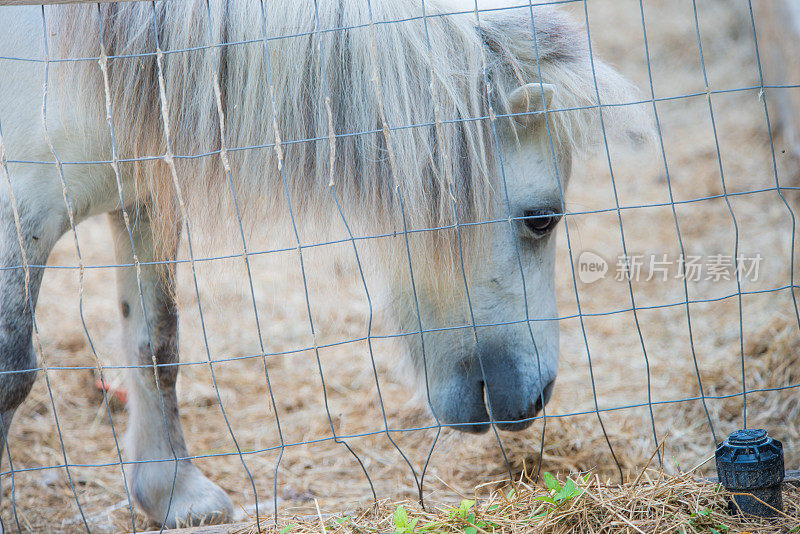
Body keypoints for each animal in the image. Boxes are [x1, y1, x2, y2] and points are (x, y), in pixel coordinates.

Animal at [0, 0, 648, 528]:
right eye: (542, 218)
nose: (538, 396)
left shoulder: (145, 200)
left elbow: (157, 344)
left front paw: (175, 493)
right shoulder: (19, 212)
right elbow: (13, 372)